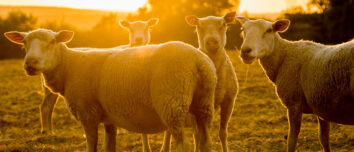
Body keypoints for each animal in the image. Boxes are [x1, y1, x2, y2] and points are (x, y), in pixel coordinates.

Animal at [4, 28, 216, 152]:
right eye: (24, 44)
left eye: (52, 42)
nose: (30, 64)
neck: (68, 65)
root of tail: (198, 62)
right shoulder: (109, 117)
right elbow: (109, 146)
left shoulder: (88, 113)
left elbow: (91, 147)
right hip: (203, 105)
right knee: (205, 142)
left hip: (172, 104)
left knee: (184, 145)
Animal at [235, 16, 354, 152]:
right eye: (243, 29)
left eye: (269, 30)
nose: (245, 51)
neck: (283, 58)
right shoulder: (321, 105)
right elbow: (324, 140)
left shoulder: (294, 104)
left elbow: (292, 140)